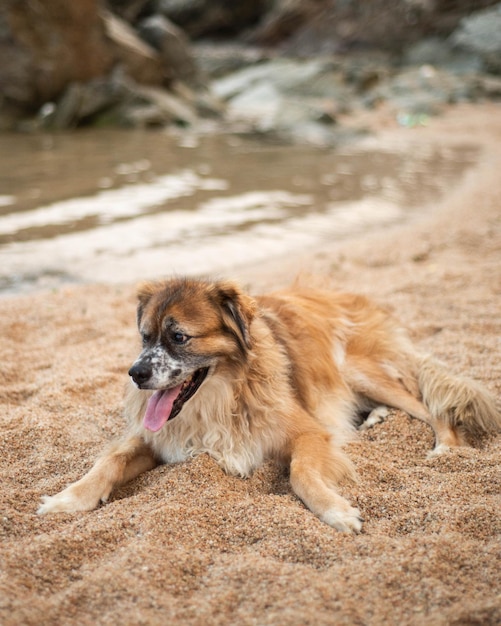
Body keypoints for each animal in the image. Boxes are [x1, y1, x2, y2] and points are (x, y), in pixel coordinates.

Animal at [36, 276, 500, 528]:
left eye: (179, 337)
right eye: (145, 337)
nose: (135, 374)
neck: (221, 395)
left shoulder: (308, 432)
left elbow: (301, 473)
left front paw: (335, 511)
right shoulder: (157, 439)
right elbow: (109, 462)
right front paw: (68, 499)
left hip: (356, 369)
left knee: (426, 405)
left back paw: (445, 446)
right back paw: (375, 419)